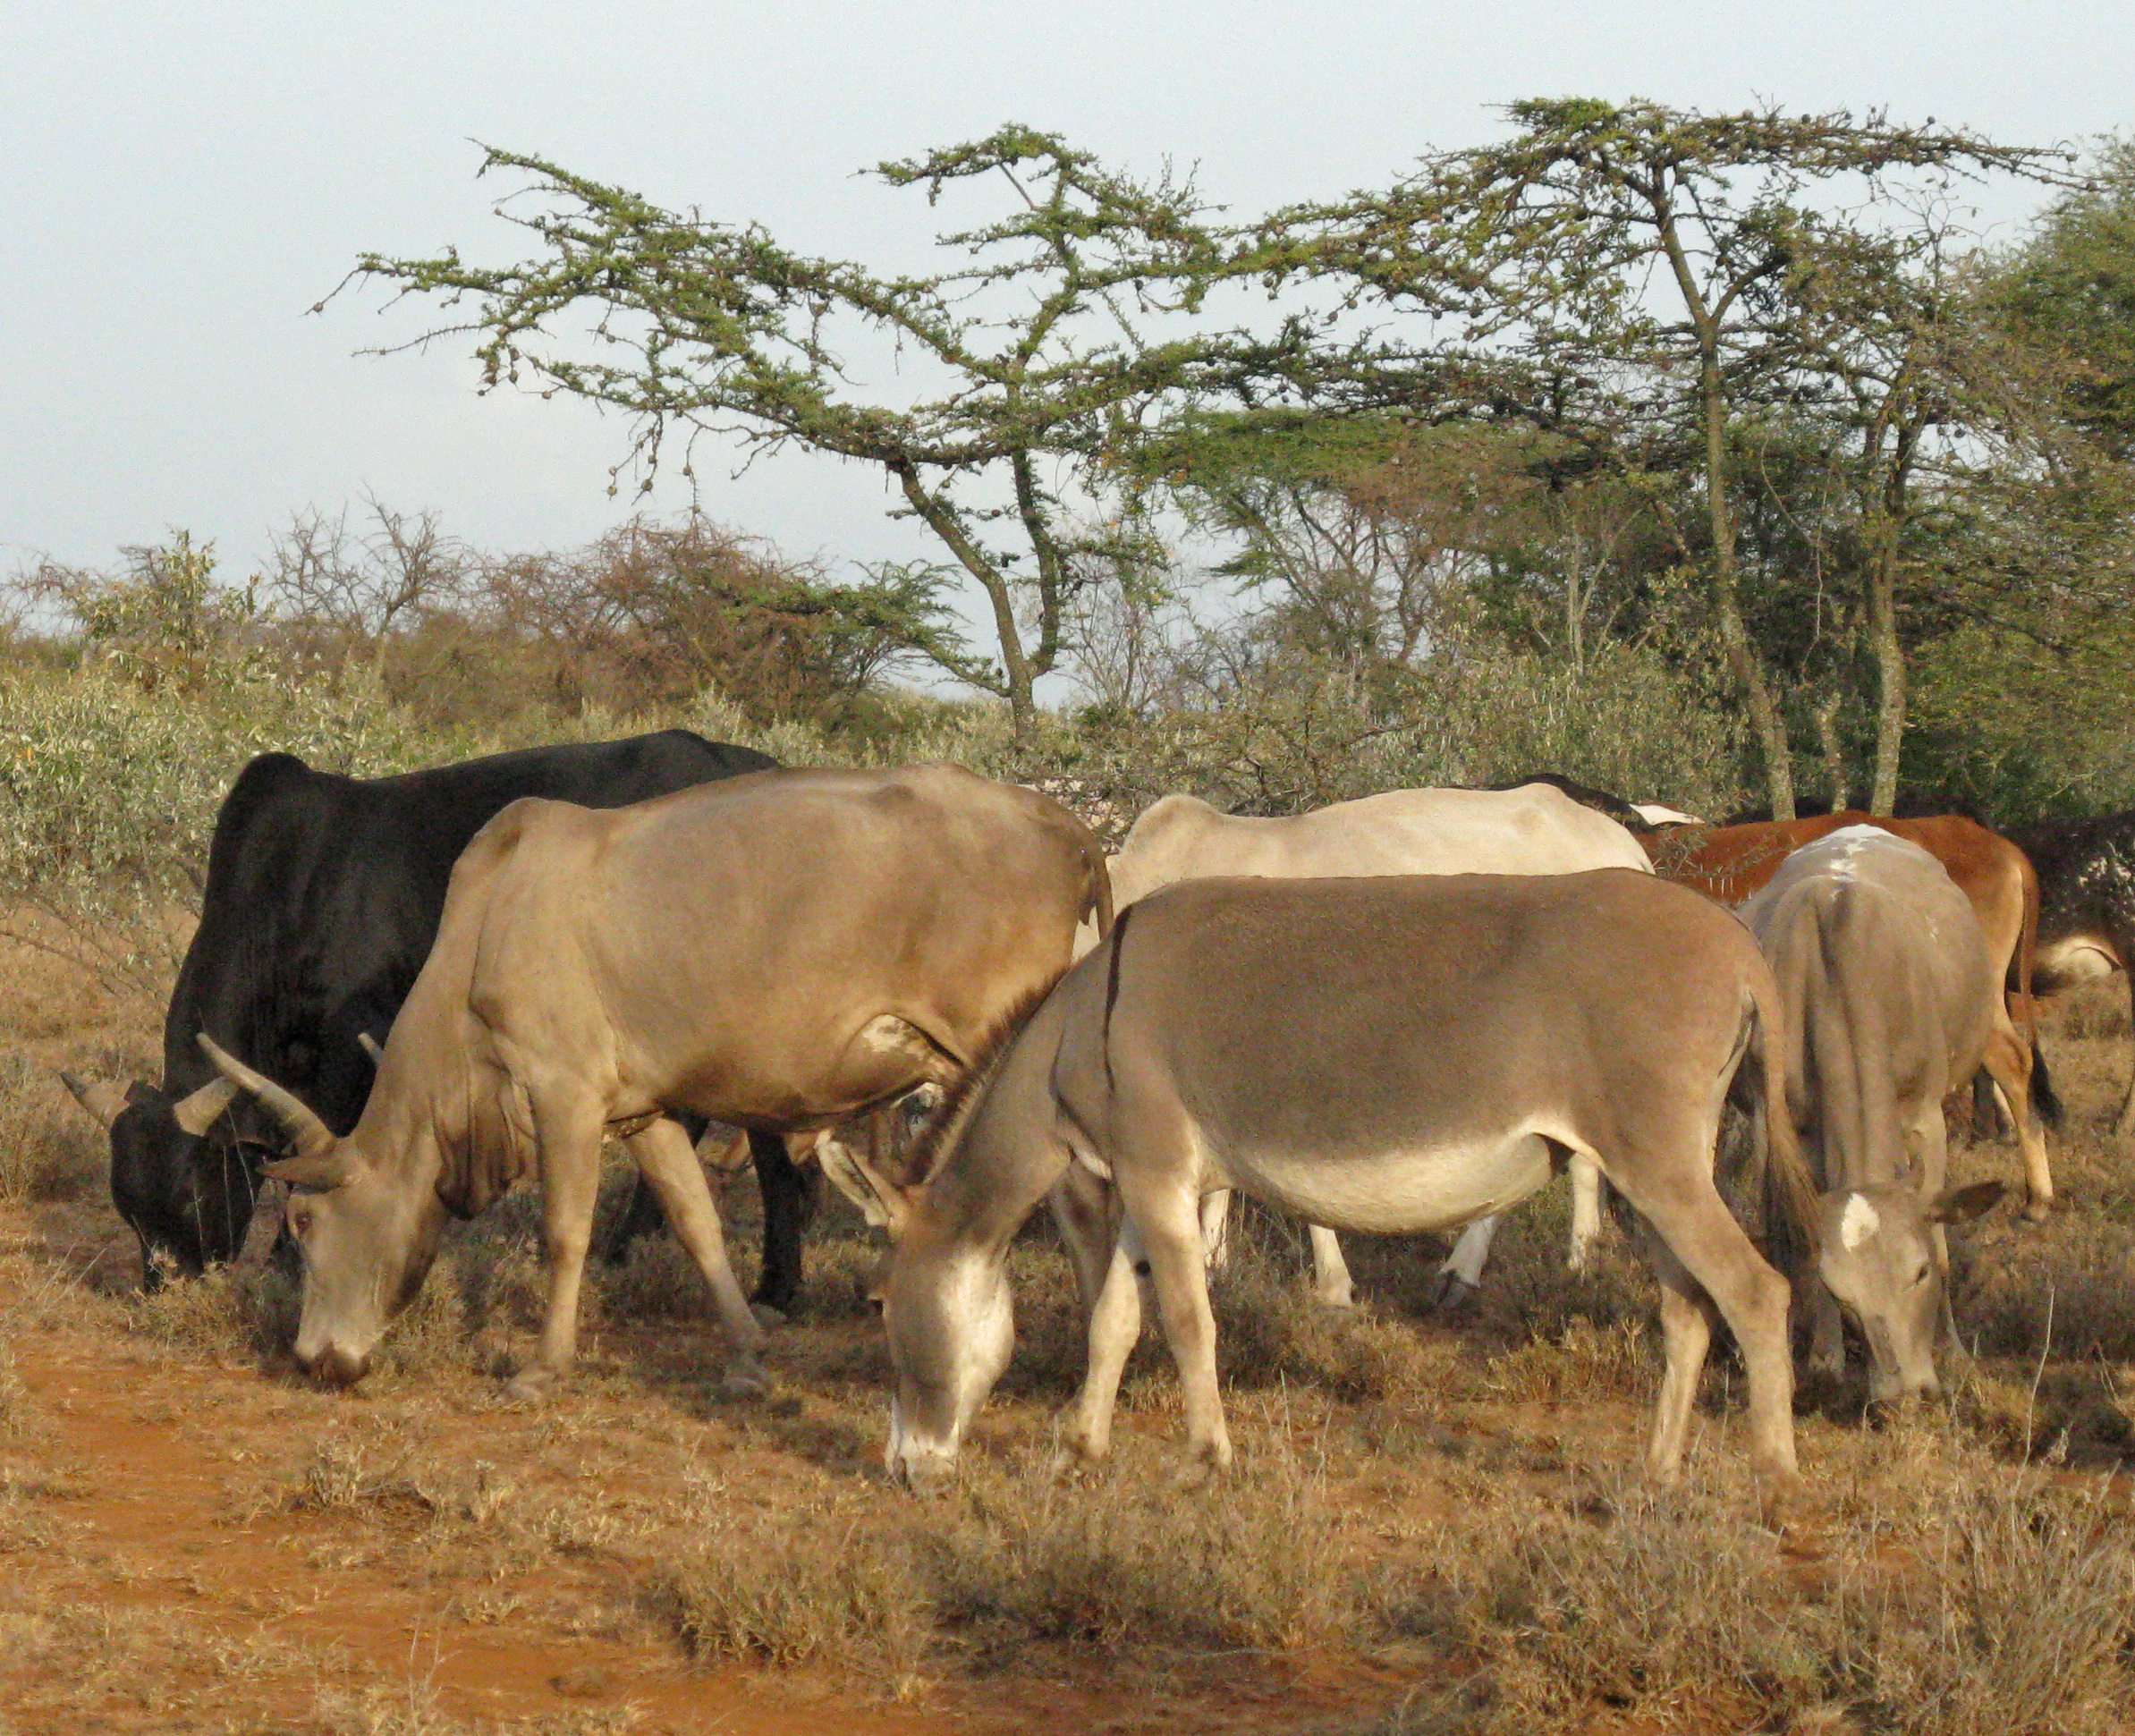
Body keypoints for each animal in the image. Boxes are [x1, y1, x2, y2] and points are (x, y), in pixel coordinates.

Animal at [62, 730, 815, 1298]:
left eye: (193, 1191)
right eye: (127, 1209)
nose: (167, 1288)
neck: (292, 890)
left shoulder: (353, 1047)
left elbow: (322, 1149)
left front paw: (289, 1258)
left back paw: (642, 1252)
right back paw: (770, 1287)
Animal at [196, 764, 1118, 1401]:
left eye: (305, 1222)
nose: (316, 1360)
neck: (491, 921)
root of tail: (1065, 823)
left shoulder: (562, 1090)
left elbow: (565, 1232)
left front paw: (542, 1367)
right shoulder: (643, 1112)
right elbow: (695, 1220)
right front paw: (745, 1356)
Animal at [853, 875, 1818, 1486]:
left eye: (881, 1308)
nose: (903, 1470)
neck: (1078, 1028)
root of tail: (1739, 946)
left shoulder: (1157, 1172)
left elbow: (1185, 1319)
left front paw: (1205, 1460)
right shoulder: (1141, 1179)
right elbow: (1114, 1320)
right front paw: (1081, 1450)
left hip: (1657, 1165)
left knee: (1755, 1290)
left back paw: (1770, 1472)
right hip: (1653, 1171)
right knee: (1688, 1307)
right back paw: (1658, 1473)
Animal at [1733, 824, 2015, 1392]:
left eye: (1919, 1272)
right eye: (1841, 1292)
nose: (1902, 1392)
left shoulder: (1928, 1117)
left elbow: (1942, 1231)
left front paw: (1953, 1348)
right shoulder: (1778, 1124)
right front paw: (1823, 1356)